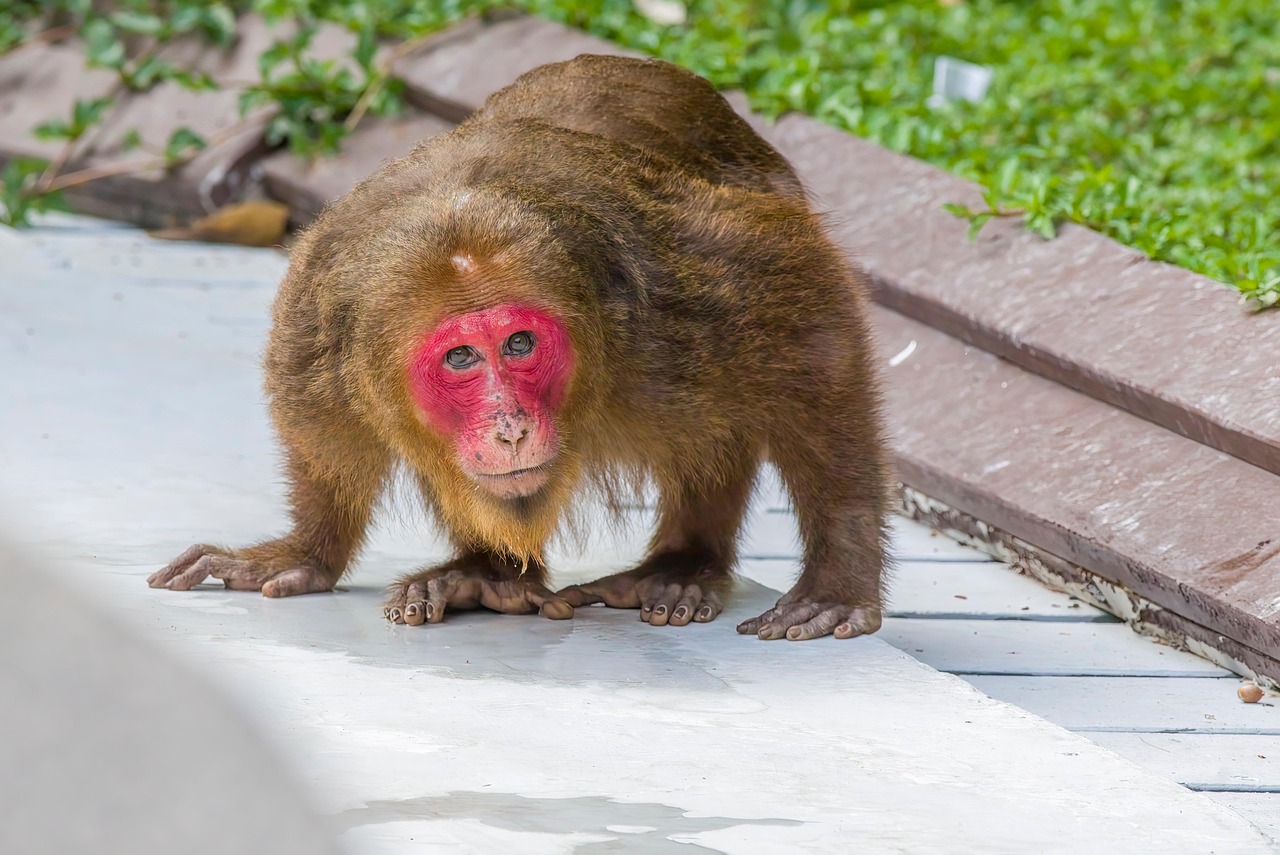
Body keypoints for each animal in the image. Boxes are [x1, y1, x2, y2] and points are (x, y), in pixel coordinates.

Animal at [149, 53, 890, 639]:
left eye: (520, 344)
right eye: (461, 358)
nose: (509, 427)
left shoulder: (680, 294)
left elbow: (816, 325)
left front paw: (837, 579)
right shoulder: (320, 314)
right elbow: (317, 422)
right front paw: (309, 551)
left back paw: (684, 564)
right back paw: (487, 575)